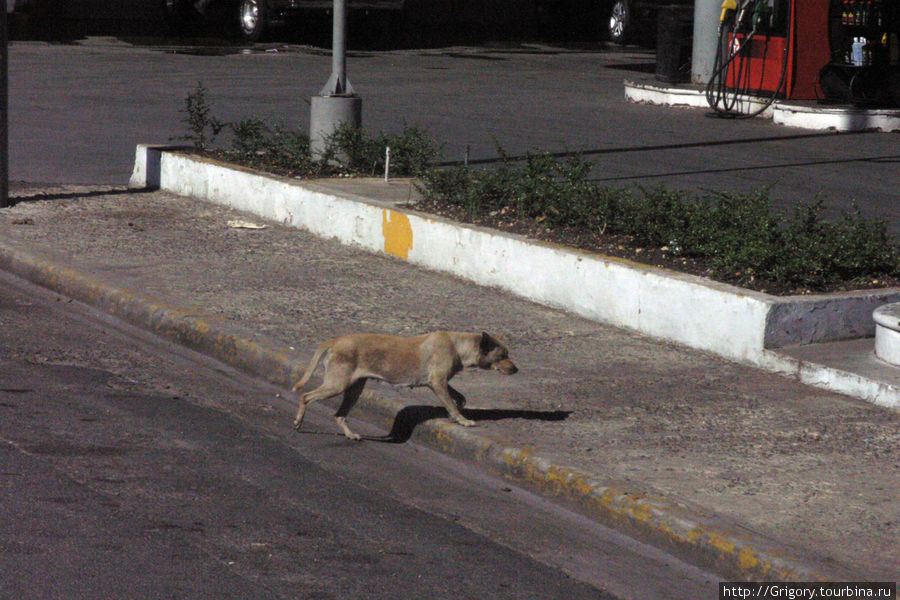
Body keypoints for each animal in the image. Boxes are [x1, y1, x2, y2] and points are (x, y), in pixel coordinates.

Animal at [292, 332, 516, 440]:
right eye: (502, 356)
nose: (516, 369)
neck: (457, 345)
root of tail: (335, 341)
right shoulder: (437, 383)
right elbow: (451, 405)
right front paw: (462, 420)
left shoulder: (439, 382)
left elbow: (458, 398)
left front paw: (459, 408)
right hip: (337, 385)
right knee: (305, 397)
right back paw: (298, 422)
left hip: (354, 390)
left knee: (339, 415)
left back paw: (350, 434)